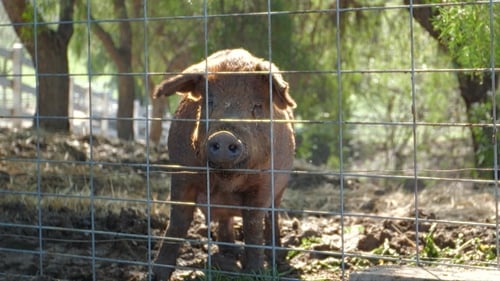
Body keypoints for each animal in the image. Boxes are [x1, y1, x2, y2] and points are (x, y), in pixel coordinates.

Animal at [150, 48, 294, 280]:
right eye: (209, 102)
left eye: (257, 106)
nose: (225, 135)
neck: (225, 180)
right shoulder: (182, 173)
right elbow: (178, 221)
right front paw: (157, 274)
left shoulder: (263, 183)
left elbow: (253, 226)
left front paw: (255, 272)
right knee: (226, 219)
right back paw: (227, 252)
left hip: (280, 189)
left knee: (272, 218)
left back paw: (277, 258)